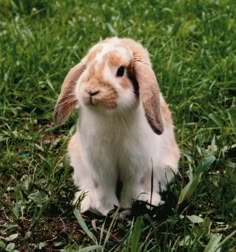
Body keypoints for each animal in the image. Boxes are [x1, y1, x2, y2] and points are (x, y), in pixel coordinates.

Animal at [53, 37, 179, 217]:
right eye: (87, 68)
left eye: (121, 71)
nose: (91, 91)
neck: (111, 116)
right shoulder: (100, 164)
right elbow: (105, 187)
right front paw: (108, 210)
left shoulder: (134, 165)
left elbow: (130, 189)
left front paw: (124, 212)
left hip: (164, 168)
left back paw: (150, 201)